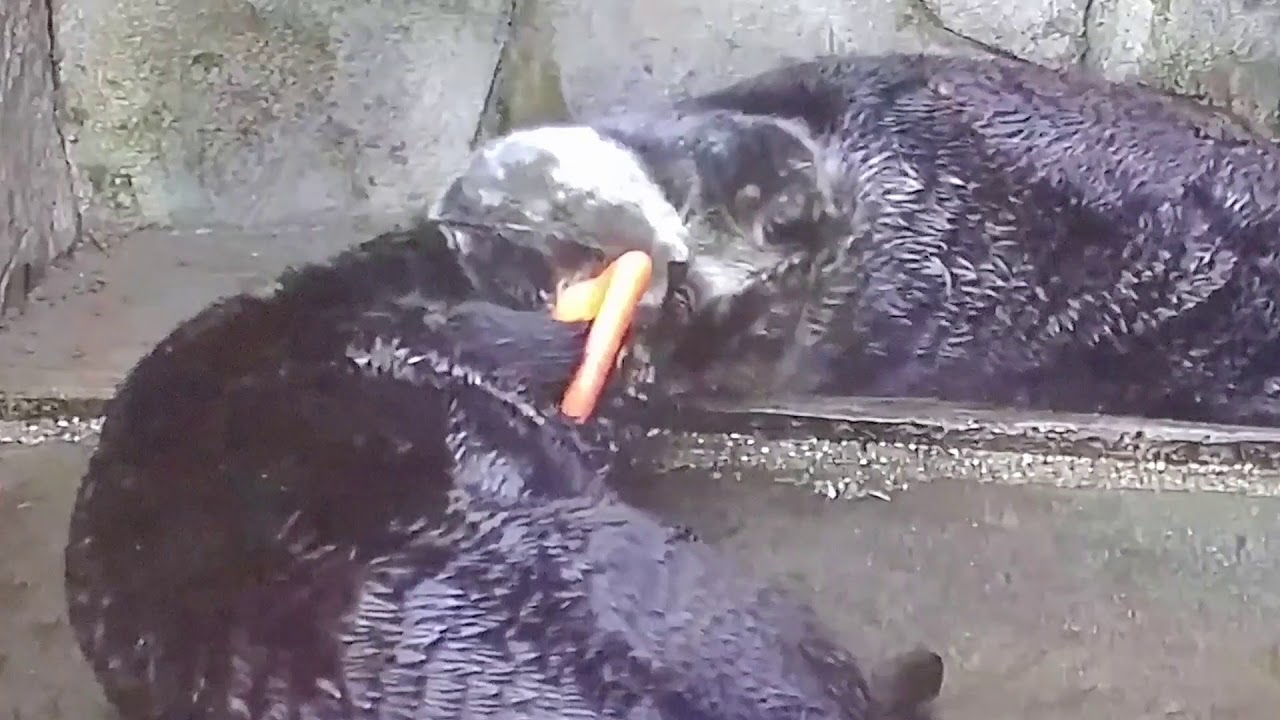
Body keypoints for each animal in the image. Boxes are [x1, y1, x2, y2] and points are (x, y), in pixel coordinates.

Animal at [437, 52, 1280, 427]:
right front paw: (652, 348)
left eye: (566, 221)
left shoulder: (743, 123)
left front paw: (783, 207)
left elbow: (769, 150)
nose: (651, 285)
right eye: (540, 286)